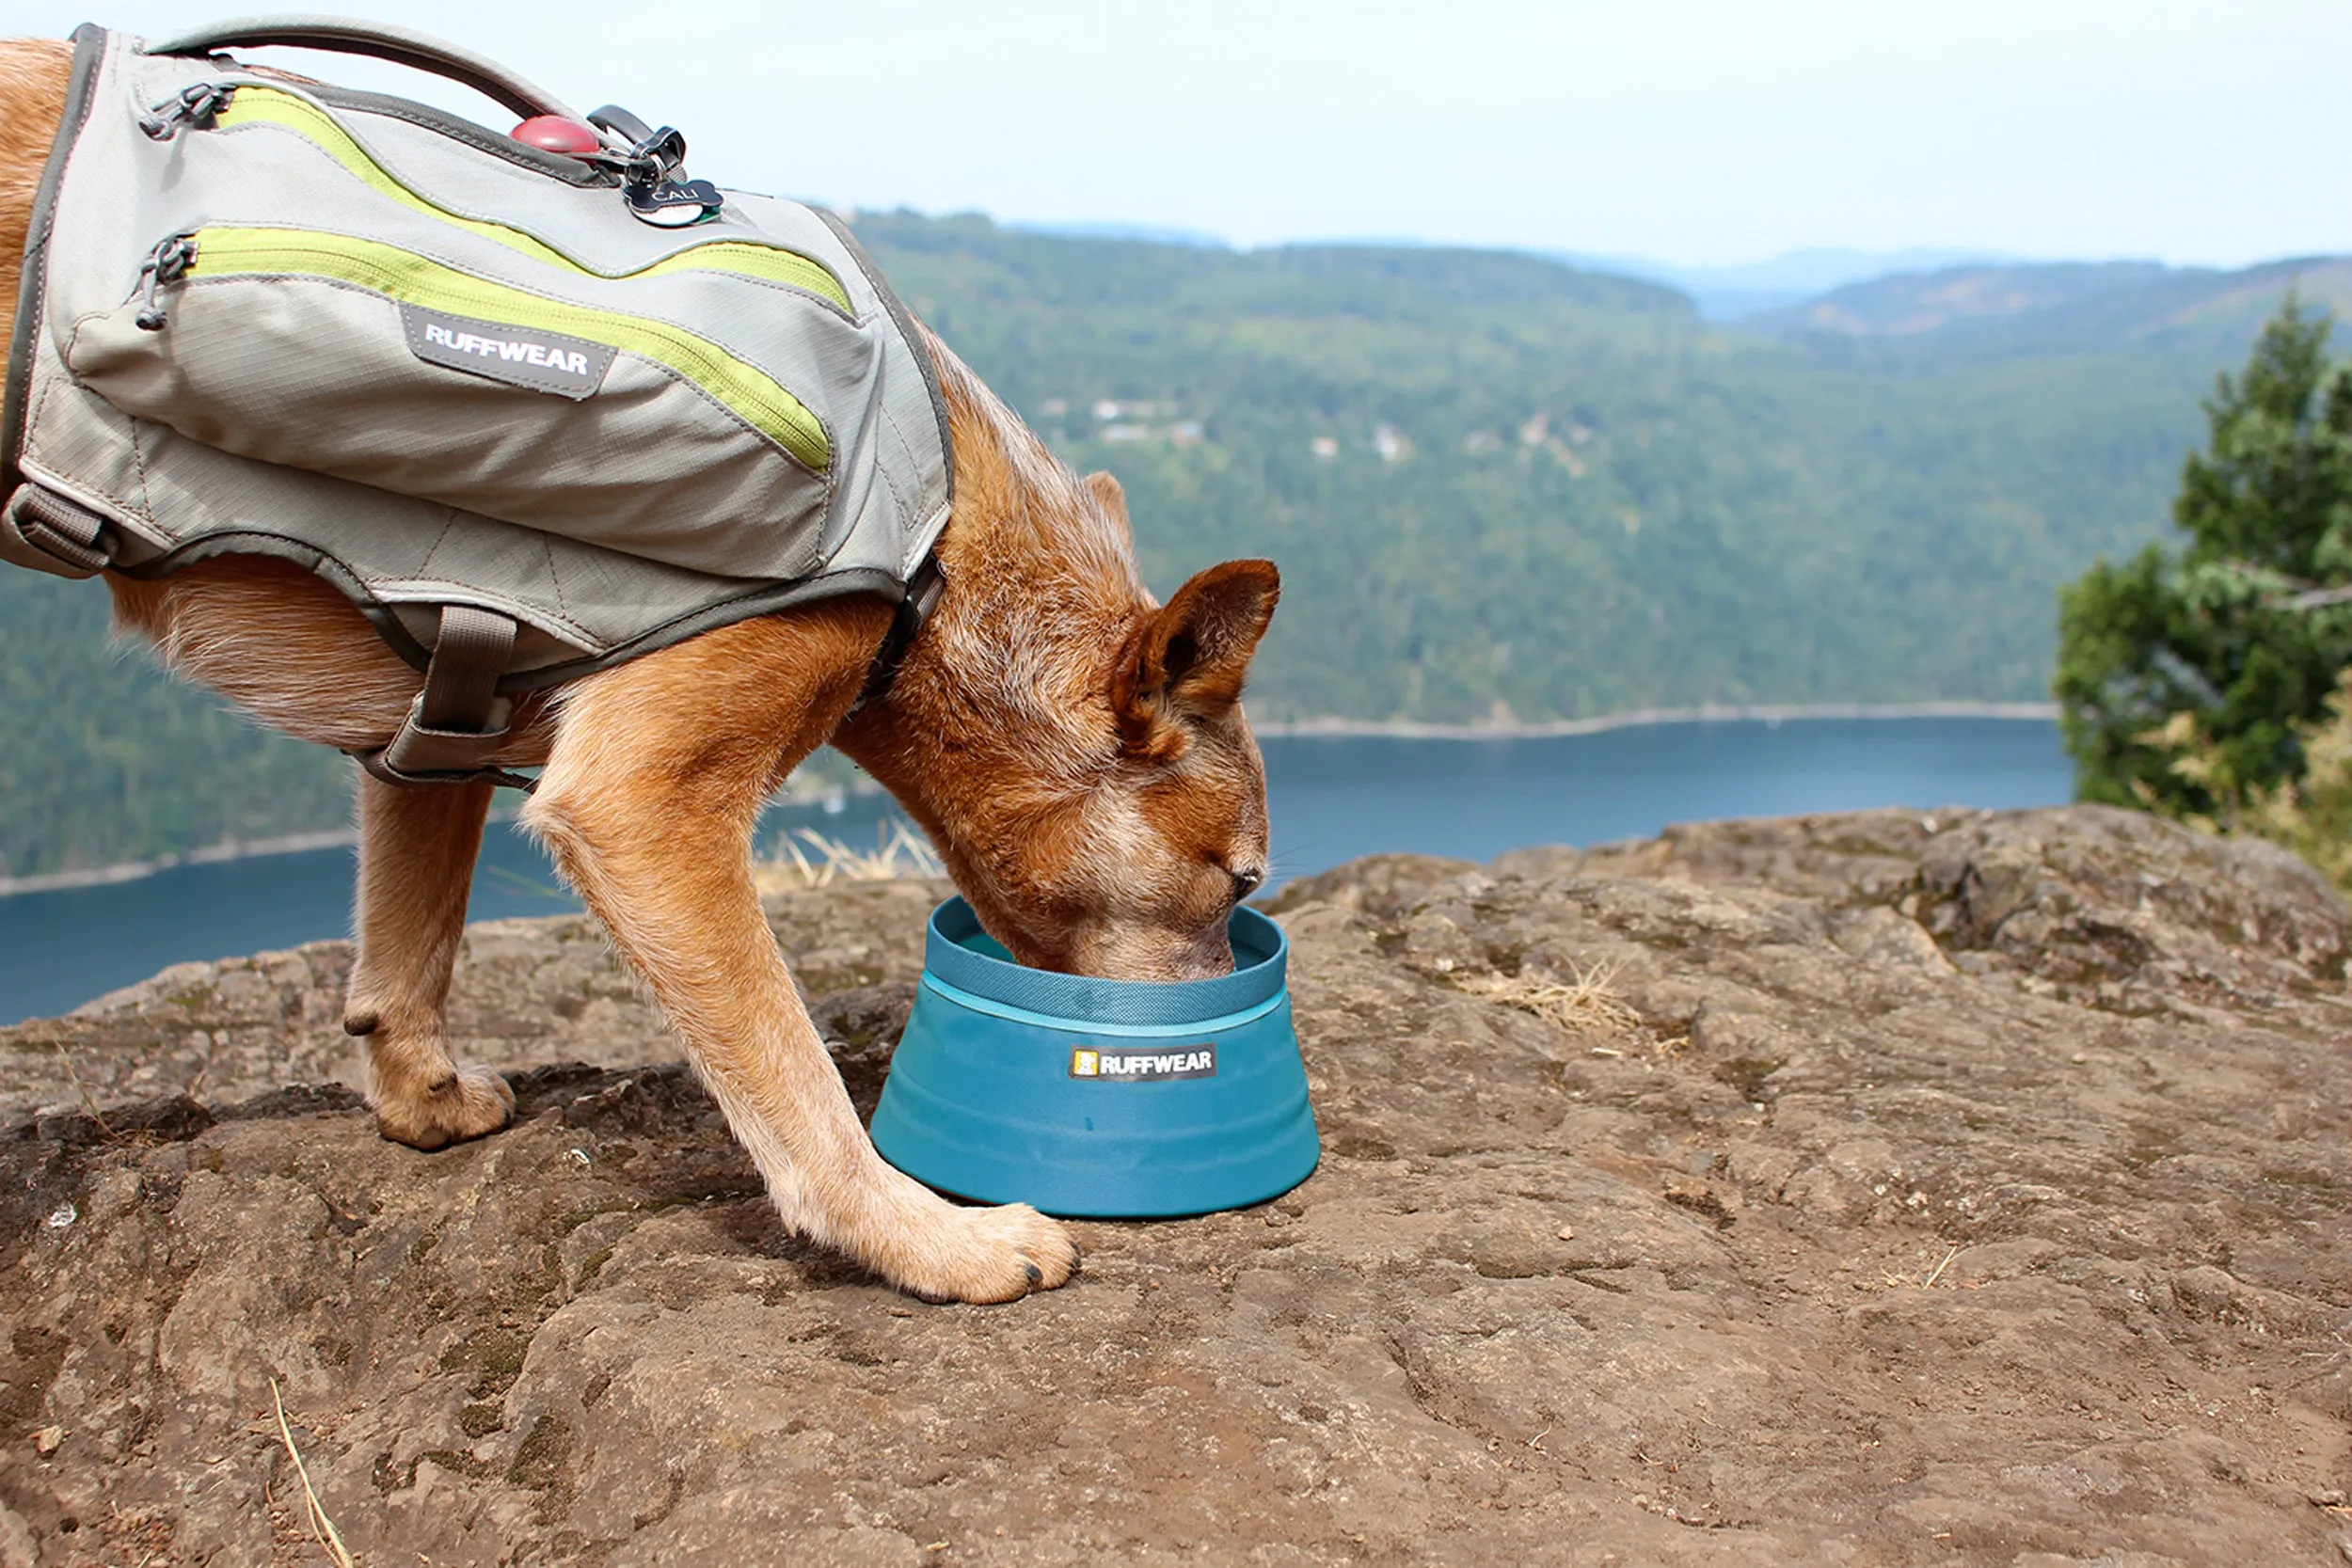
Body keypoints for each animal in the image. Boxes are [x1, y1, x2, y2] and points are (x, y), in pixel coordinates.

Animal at [4, 40, 1289, 1316]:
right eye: (1237, 882)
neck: (930, 547)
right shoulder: (643, 801)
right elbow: (794, 1081)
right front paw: (924, 1235)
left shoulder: (438, 719)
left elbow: (409, 943)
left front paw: (419, 1095)